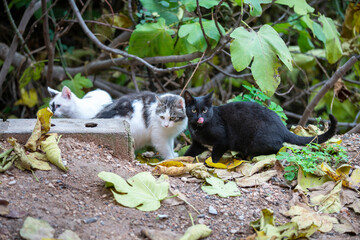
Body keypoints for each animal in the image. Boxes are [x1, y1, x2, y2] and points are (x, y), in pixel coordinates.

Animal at [183, 90, 338, 163]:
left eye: (204, 111)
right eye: (193, 110)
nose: (199, 118)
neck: (198, 129)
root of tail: (282, 127)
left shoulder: (222, 139)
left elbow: (215, 155)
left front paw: (211, 163)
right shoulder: (197, 143)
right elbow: (188, 154)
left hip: (256, 141)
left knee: (278, 147)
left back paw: (250, 156)